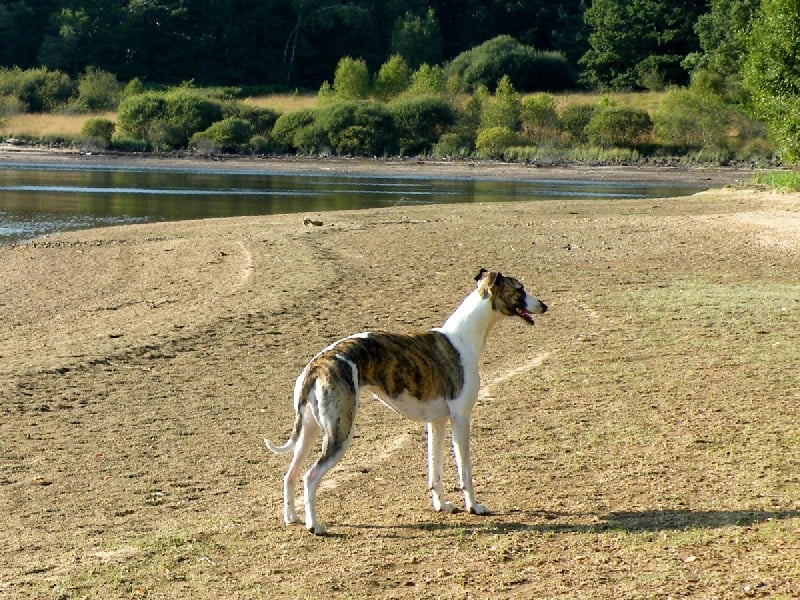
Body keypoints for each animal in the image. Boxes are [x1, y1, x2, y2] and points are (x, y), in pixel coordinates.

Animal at [266, 268, 548, 536]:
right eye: (520, 289)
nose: (544, 305)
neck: (463, 337)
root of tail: (317, 364)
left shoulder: (437, 422)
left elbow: (436, 469)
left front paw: (441, 505)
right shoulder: (461, 419)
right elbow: (465, 470)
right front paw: (474, 507)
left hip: (310, 430)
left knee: (290, 474)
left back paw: (291, 517)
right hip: (340, 432)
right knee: (310, 477)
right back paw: (315, 526)